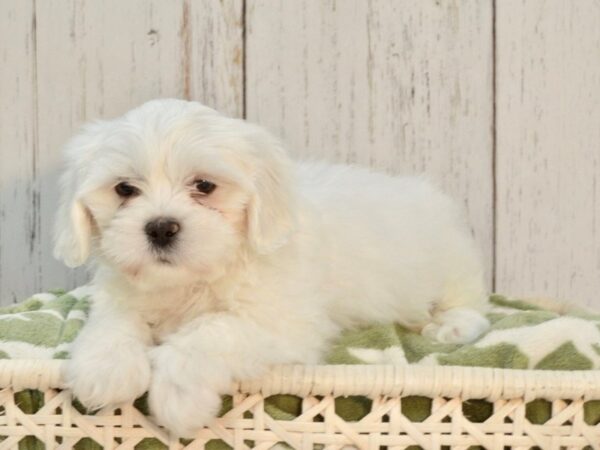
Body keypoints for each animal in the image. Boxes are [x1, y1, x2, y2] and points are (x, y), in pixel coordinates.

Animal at [55, 98, 488, 436]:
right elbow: (112, 324)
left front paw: (179, 397)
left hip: (450, 264)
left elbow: (211, 330)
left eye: (205, 186)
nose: (161, 227)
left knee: (471, 304)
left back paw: (451, 325)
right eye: (124, 189)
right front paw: (104, 369)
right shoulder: (122, 298)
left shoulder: (282, 323)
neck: (193, 279)